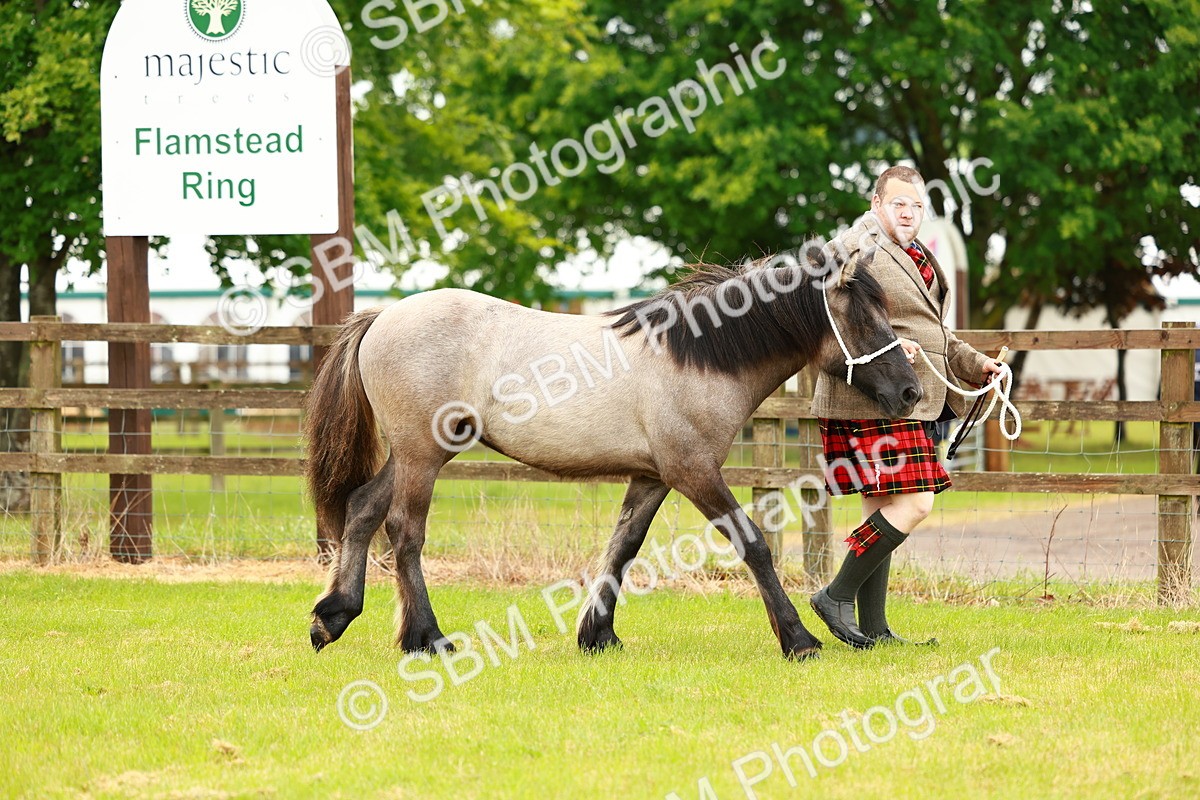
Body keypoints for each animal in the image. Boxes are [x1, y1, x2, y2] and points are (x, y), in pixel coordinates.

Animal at [304, 243, 923, 661]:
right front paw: (798, 639)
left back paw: (333, 617)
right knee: (404, 530)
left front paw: (596, 634)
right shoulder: (694, 472)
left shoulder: (653, 476)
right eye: (864, 317)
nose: (911, 392)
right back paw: (426, 637)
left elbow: (623, 546)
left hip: (417, 453)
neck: (697, 358)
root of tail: (382, 316)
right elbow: (753, 544)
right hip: (423, 455)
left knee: (363, 509)